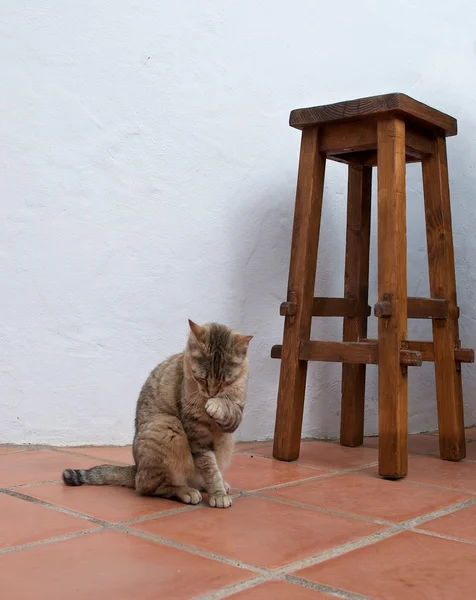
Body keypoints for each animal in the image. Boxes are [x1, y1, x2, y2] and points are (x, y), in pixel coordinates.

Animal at [63, 318, 253, 506]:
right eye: (202, 378)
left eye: (225, 381)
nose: (211, 393)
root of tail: (136, 468)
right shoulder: (195, 430)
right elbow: (209, 466)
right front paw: (218, 494)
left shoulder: (235, 416)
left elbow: (229, 410)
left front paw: (217, 404)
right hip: (167, 426)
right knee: (148, 486)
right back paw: (185, 491)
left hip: (226, 441)